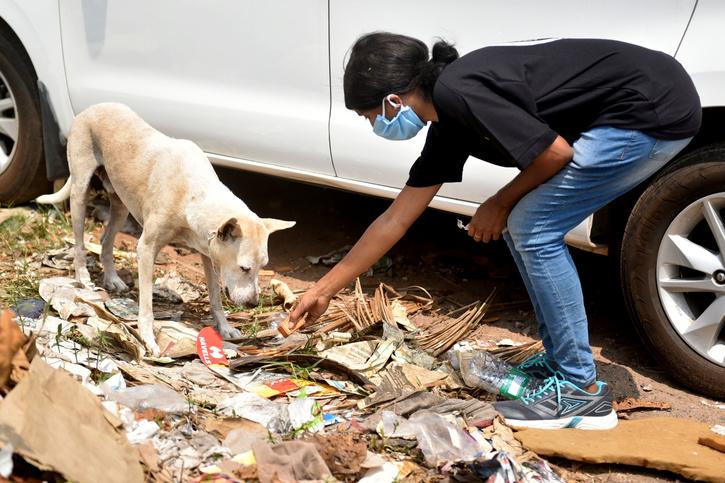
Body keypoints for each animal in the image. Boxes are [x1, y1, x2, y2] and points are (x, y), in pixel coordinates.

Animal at [35, 104, 296, 358]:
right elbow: (147, 304)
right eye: (244, 268)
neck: (195, 194)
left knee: (106, 239)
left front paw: (224, 328)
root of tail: (90, 109)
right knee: (79, 243)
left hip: (121, 205)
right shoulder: (146, 249)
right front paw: (148, 339)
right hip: (80, 192)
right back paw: (83, 278)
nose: (253, 303)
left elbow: (215, 296)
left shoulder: (209, 253)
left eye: (263, 267)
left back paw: (112, 278)